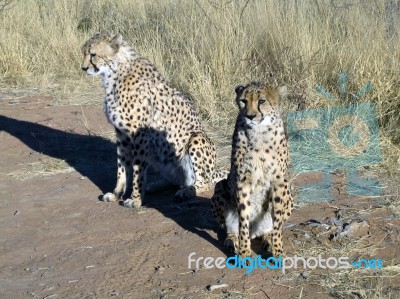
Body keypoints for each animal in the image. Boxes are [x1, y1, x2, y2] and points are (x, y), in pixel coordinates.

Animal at [81, 31, 225, 209]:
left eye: (93, 54)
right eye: (84, 53)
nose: (84, 68)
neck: (114, 73)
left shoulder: (138, 134)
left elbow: (137, 169)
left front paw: (135, 199)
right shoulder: (121, 133)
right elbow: (121, 166)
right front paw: (117, 194)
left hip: (197, 138)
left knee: (205, 182)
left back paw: (187, 191)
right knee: (177, 180)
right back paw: (155, 185)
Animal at [211, 82, 292, 260]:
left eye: (262, 101)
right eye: (243, 101)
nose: (250, 116)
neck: (260, 132)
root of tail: (256, 231)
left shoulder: (279, 181)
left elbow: (277, 222)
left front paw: (277, 250)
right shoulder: (242, 181)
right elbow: (243, 221)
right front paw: (244, 254)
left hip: (288, 188)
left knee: (270, 228)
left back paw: (267, 239)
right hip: (221, 186)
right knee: (230, 229)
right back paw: (232, 242)